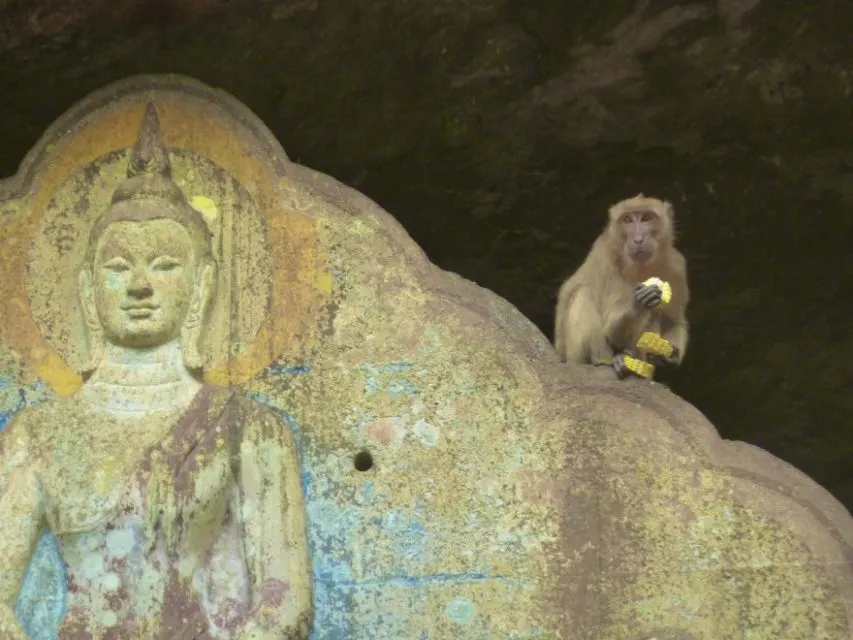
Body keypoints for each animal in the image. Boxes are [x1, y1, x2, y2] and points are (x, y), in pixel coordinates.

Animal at [556, 195, 688, 380]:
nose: (638, 239)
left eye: (646, 218)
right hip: (573, 357)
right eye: (627, 220)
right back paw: (606, 362)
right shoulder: (605, 258)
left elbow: (673, 320)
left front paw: (671, 355)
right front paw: (639, 303)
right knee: (582, 294)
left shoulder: (677, 266)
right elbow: (610, 328)